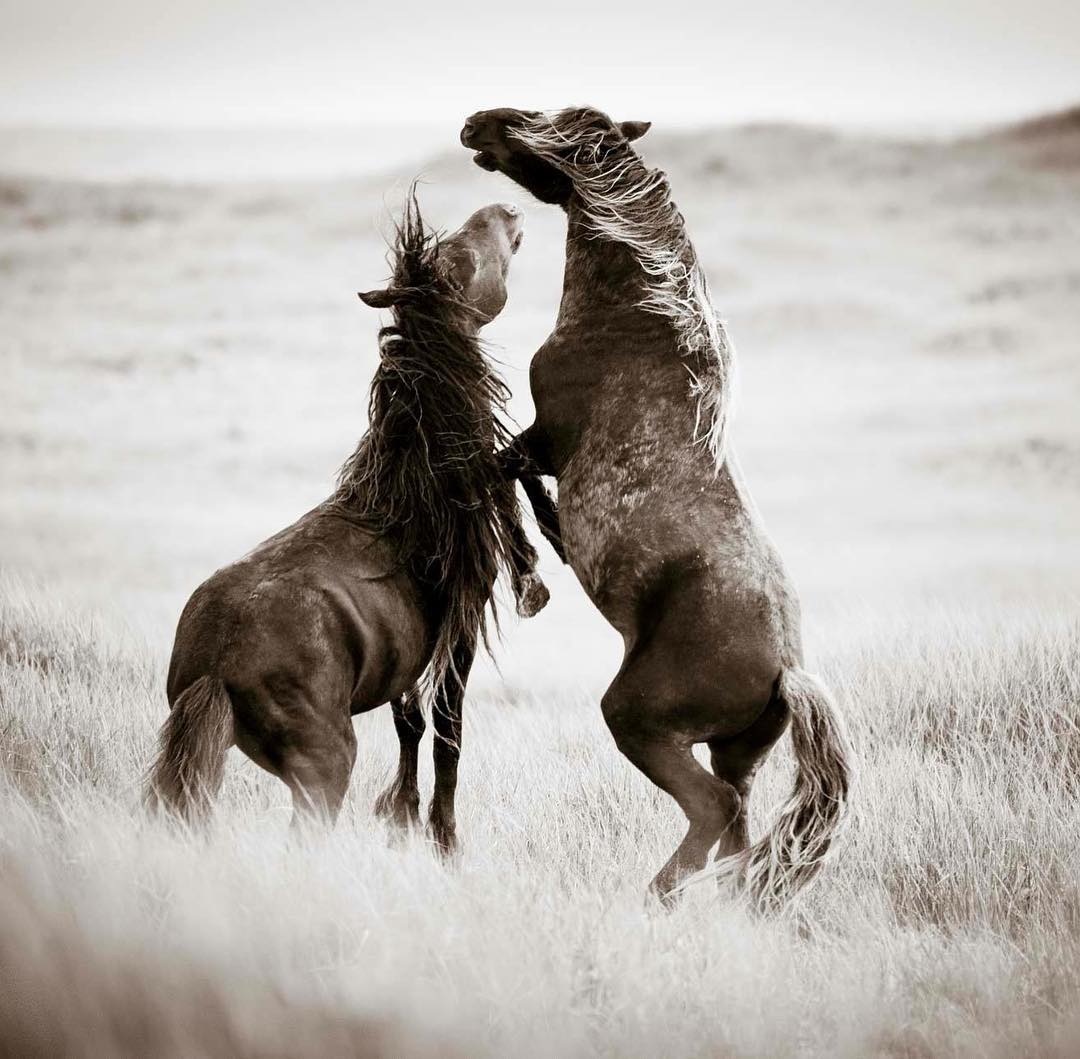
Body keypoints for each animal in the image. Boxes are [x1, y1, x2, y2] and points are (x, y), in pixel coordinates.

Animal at [147, 194, 553, 853]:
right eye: (462, 258)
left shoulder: (406, 657)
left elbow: (410, 723)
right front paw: (442, 838)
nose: (510, 208)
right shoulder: (461, 628)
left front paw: (402, 817)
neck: (413, 495)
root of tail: (215, 664)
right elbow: (447, 732)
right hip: (326, 764)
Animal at [460, 106, 855, 909]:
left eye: (539, 118)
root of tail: (787, 671)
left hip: (638, 720)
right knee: (738, 819)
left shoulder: (543, 439)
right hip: (735, 750)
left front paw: (539, 569)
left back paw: (658, 896)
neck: (638, 318)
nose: (477, 121)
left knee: (714, 809)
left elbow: (504, 473)